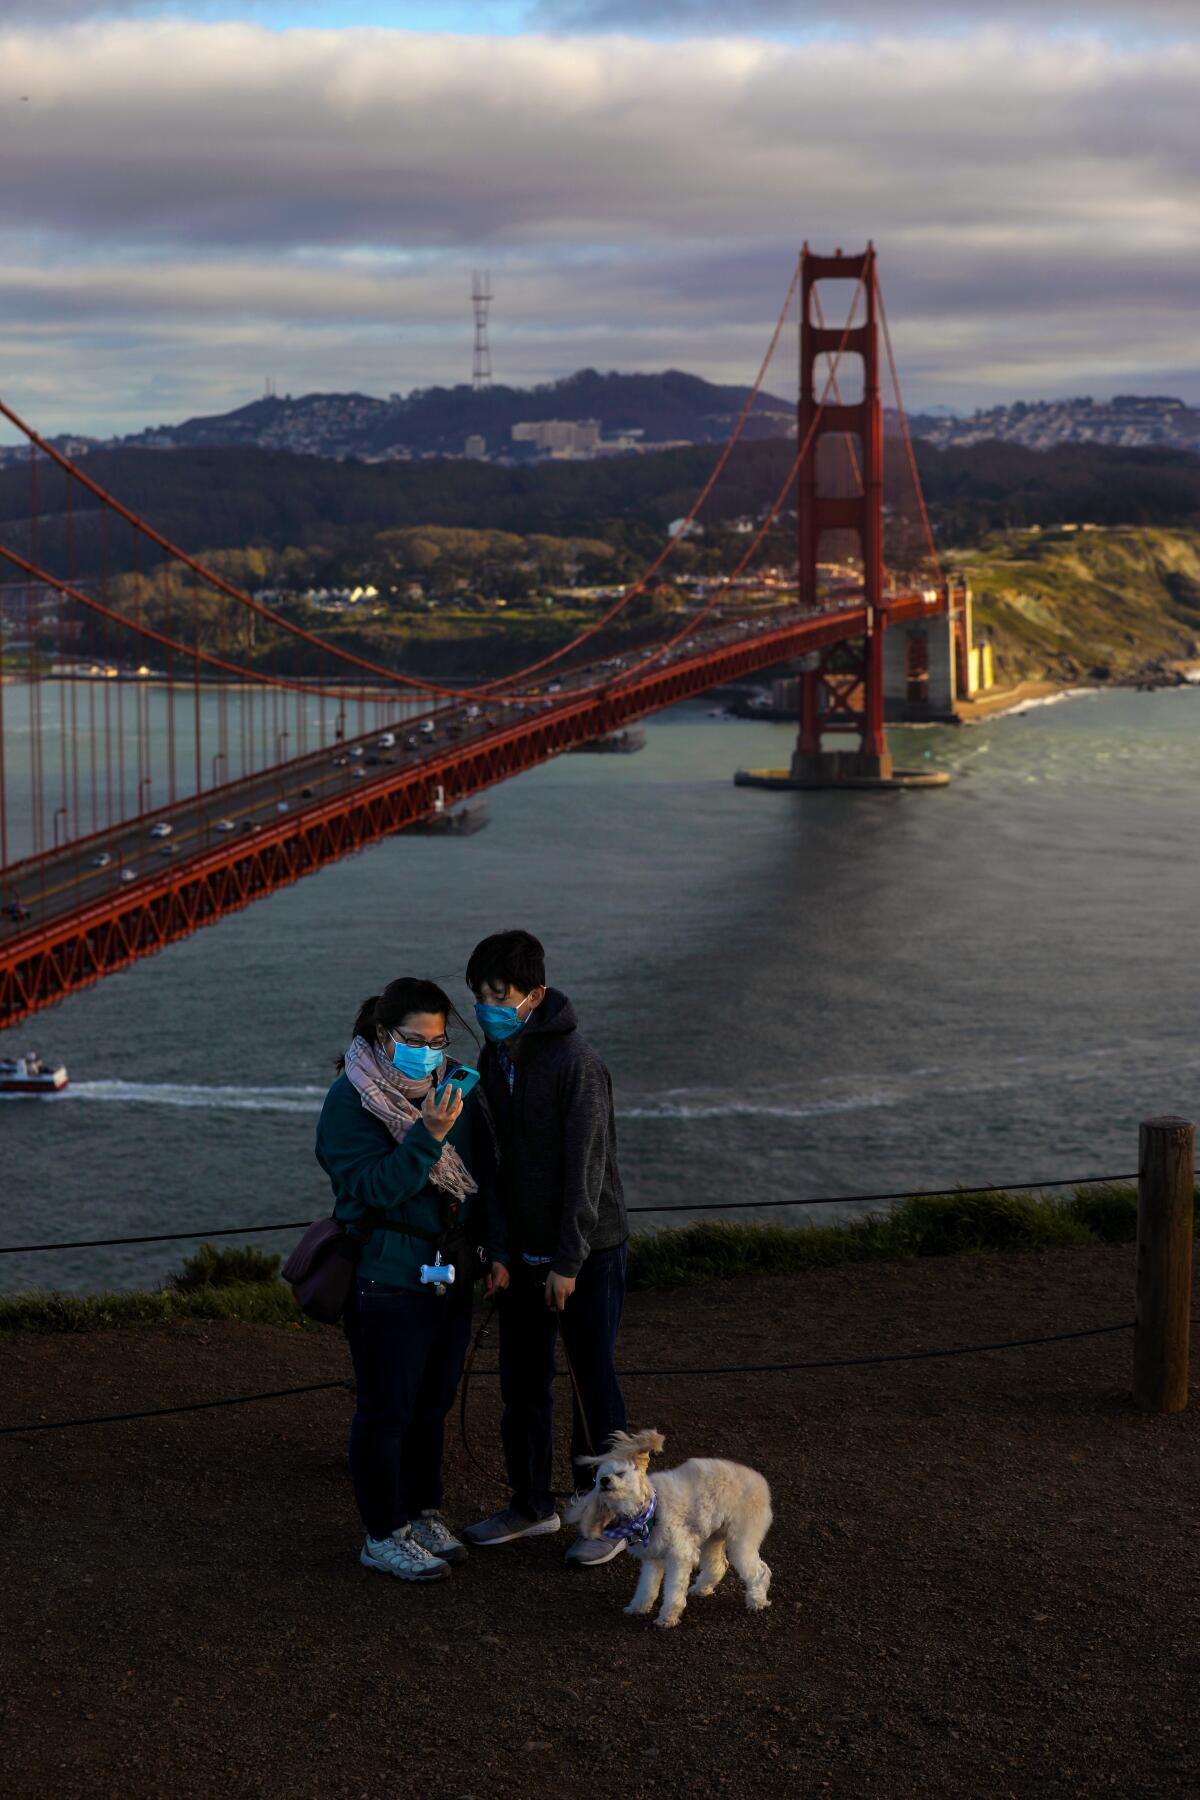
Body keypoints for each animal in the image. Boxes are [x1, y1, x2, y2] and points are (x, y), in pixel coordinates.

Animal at [568, 1432, 773, 1634]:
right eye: (598, 1478)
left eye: (620, 1474)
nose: (604, 1480)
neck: (648, 1511)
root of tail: (761, 1482)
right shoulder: (652, 1557)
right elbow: (646, 1587)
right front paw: (638, 1607)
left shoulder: (679, 1555)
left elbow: (673, 1591)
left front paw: (668, 1617)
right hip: (713, 1537)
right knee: (719, 1565)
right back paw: (702, 1588)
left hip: (742, 1540)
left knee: (760, 1571)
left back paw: (757, 1601)